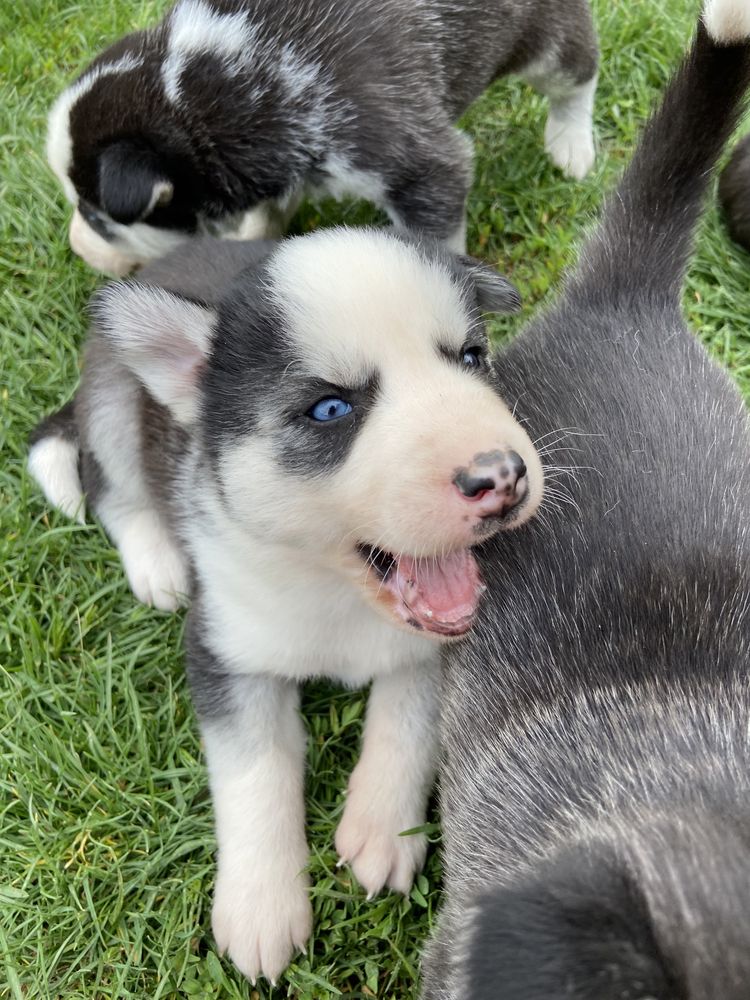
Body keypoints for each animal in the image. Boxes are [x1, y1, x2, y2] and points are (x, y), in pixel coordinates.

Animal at [27, 229, 548, 984]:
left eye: (472, 358)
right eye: (330, 409)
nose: (502, 477)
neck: (332, 590)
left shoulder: (437, 645)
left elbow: (408, 722)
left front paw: (383, 828)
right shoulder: (225, 648)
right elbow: (256, 772)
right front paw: (260, 905)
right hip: (113, 403)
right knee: (110, 487)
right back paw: (155, 560)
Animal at [45, 0, 600, 274]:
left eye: (96, 215)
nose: (77, 247)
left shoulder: (414, 161)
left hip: (546, 41)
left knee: (577, 73)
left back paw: (572, 143)